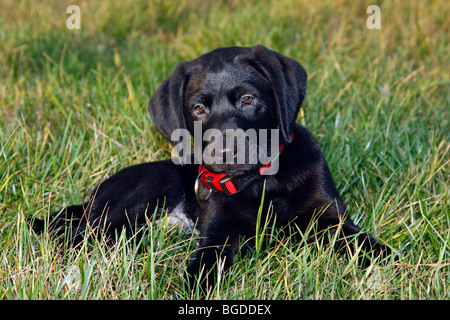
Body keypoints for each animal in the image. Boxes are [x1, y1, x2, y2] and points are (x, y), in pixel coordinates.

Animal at [29, 45, 392, 292]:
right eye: (198, 109)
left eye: (248, 100)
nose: (227, 152)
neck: (260, 183)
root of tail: (94, 194)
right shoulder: (217, 235)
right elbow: (201, 272)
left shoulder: (332, 220)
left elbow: (371, 247)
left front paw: (395, 264)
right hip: (145, 193)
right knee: (76, 234)